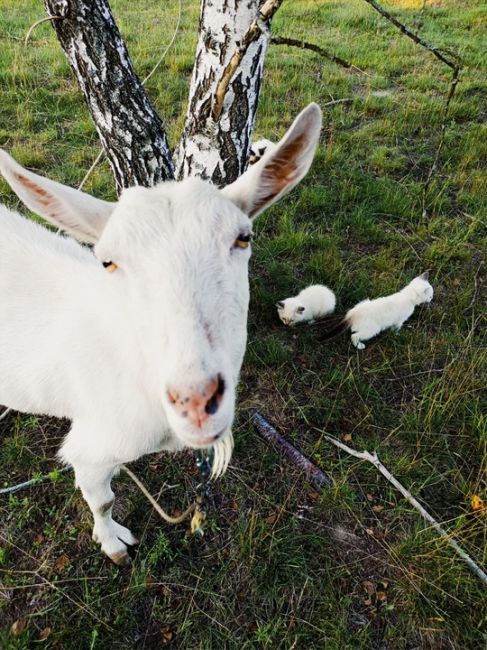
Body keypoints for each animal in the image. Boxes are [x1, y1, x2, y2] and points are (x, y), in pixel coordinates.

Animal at [0, 102, 324, 560]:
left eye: (243, 238)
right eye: (108, 261)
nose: (196, 400)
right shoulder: (91, 449)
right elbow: (103, 499)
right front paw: (114, 544)